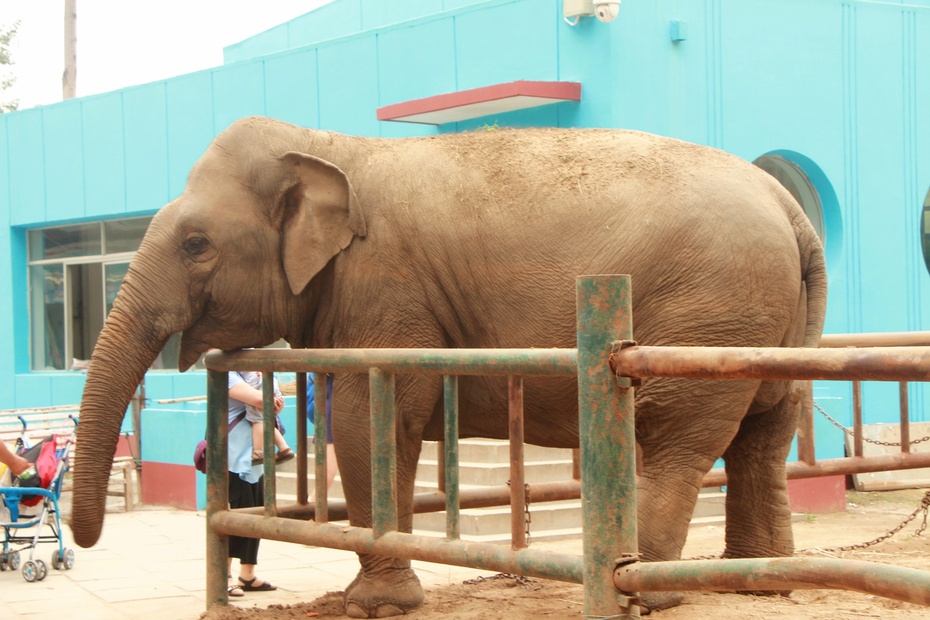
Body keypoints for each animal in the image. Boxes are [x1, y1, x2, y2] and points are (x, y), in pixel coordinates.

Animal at [72, 116, 828, 616]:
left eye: (195, 244)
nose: (83, 542)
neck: (330, 146)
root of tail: (792, 209)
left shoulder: (386, 287)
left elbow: (367, 417)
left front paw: (375, 606)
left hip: (713, 306)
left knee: (671, 438)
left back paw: (647, 594)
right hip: (765, 328)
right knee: (763, 436)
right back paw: (757, 583)